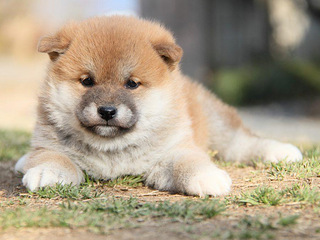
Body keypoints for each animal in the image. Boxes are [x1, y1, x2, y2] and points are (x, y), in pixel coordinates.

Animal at [13, 16, 302, 197]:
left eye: (132, 84)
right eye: (87, 81)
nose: (107, 111)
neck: (112, 151)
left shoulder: (174, 150)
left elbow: (189, 161)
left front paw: (207, 176)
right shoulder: (48, 144)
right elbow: (52, 156)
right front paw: (47, 172)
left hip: (218, 125)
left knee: (242, 143)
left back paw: (282, 151)